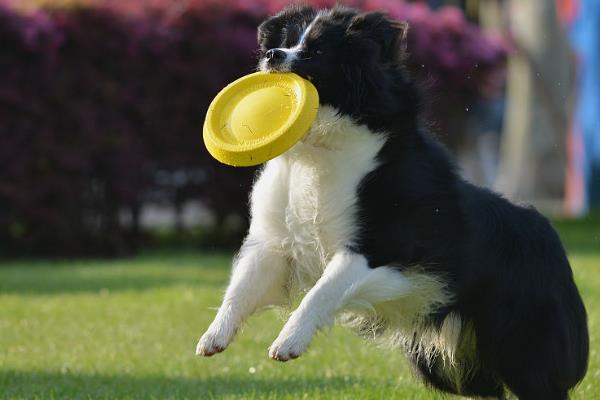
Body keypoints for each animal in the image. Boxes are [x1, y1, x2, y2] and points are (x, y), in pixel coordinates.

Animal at [196, 6, 584, 400]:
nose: (272, 55)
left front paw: (288, 342)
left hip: (524, 338)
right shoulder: (277, 241)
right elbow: (243, 285)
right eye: (287, 42)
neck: (317, 148)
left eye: (316, 51)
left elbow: (323, 290)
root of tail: (555, 241)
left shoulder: (378, 248)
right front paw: (213, 337)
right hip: (448, 362)